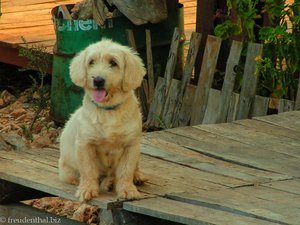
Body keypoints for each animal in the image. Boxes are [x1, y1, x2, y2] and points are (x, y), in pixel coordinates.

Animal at [58, 39, 147, 201]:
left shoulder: (131, 145)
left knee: (132, 169)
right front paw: (87, 189)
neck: (108, 111)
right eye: (91, 62)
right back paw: (106, 182)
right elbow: (88, 170)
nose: (98, 80)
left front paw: (127, 190)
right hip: (67, 171)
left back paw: (136, 177)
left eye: (113, 63)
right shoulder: (85, 144)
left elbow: (126, 171)